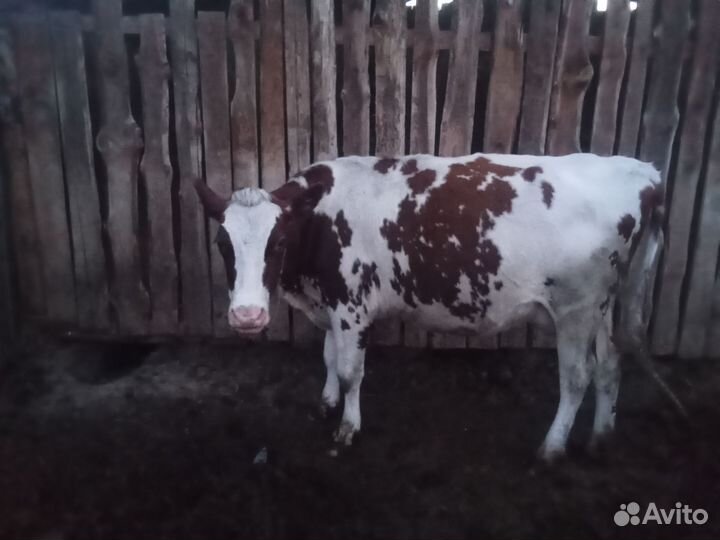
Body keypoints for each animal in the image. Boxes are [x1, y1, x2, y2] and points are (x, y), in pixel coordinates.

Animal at [194, 152, 665, 462]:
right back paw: (600, 437)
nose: (247, 316)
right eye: (222, 244)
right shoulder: (329, 300)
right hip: (602, 305)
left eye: (278, 242)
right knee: (609, 365)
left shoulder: (352, 305)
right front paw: (326, 403)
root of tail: (642, 172)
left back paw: (552, 448)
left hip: (576, 308)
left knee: (577, 377)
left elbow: (349, 371)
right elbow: (328, 357)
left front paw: (347, 427)